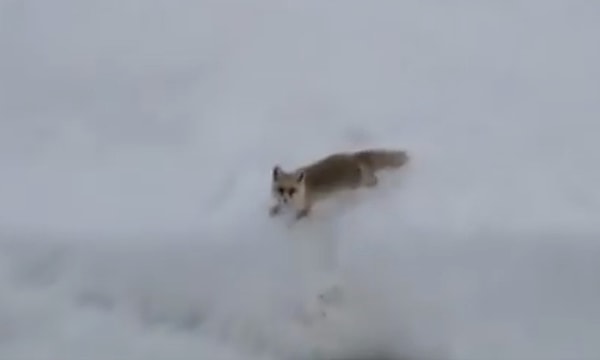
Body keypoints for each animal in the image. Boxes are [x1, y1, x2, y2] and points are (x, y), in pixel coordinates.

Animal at [270, 148, 408, 219]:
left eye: (292, 190)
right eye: (280, 190)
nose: (285, 200)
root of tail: (353, 157)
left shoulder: (309, 204)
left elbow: (305, 212)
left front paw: (297, 218)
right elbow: (278, 206)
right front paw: (275, 208)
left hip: (358, 183)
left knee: (373, 180)